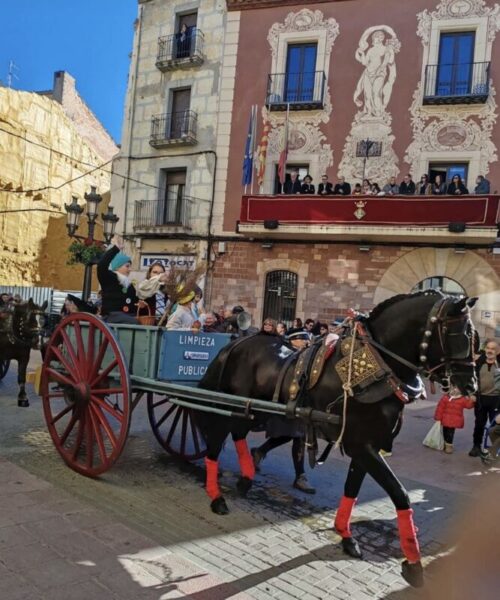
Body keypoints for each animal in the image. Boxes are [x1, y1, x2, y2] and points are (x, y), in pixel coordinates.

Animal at [194, 290, 476, 584]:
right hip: (229, 406)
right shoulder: (361, 445)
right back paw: (217, 497)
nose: (471, 385)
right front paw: (413, 563)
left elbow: (351, 490)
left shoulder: (366, 445)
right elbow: (400, 494)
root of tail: (238, 342)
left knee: (238, 435)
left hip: (251, 411)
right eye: (459, 334)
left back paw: (247, 477)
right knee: (215, 444)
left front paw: (346, 536)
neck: (377, 363)